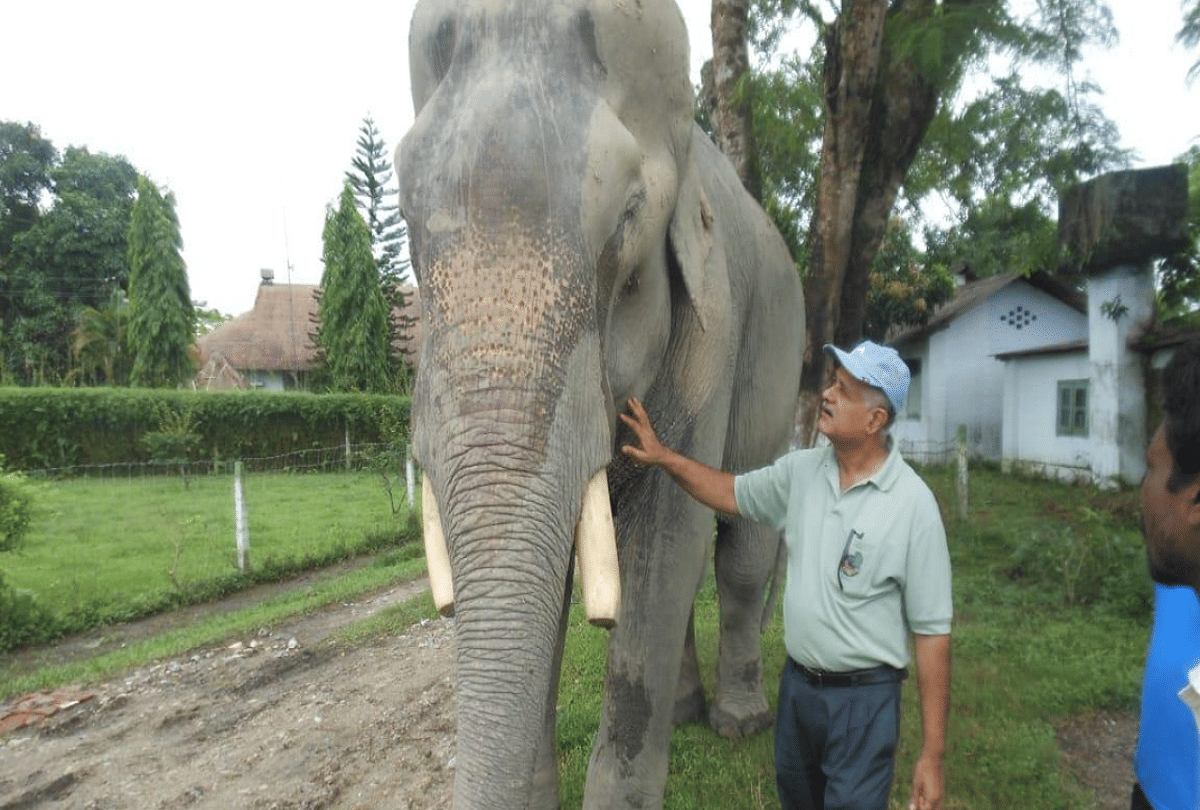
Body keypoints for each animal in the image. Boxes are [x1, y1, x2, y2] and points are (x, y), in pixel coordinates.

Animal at [396, 1, 805, 808]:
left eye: (627, 219)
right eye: (402, 219)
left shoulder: (714, 327)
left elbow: (669, 536)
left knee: (740, 554)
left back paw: (738, 722)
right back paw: (687, 711)